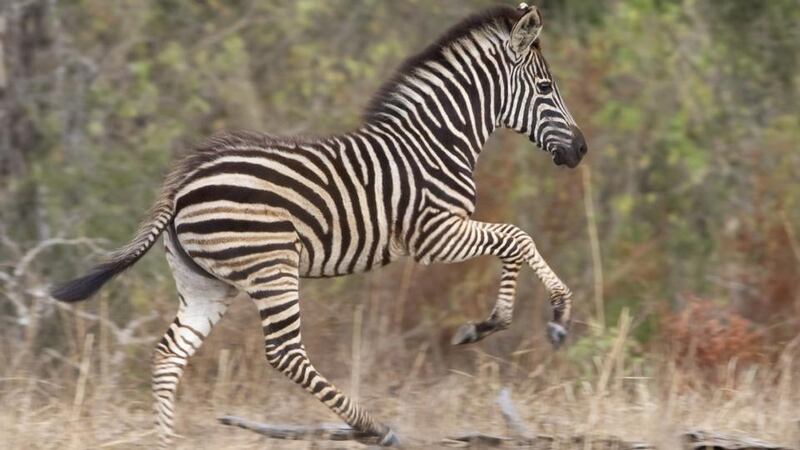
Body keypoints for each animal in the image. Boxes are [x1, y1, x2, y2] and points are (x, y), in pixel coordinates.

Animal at [50, 2, 588, 446]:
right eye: (545, 88)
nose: (581, 150)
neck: (436, 141)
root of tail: (185, 178)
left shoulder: (447, 231)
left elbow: (512, 244)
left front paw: (487, 324)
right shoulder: (434, 233)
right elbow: (517, 238)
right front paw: (553, 317)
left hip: (204, 283)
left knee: (168, 356)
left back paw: (166, 441)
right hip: (272, 267)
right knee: (284, 353)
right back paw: (372, 427)